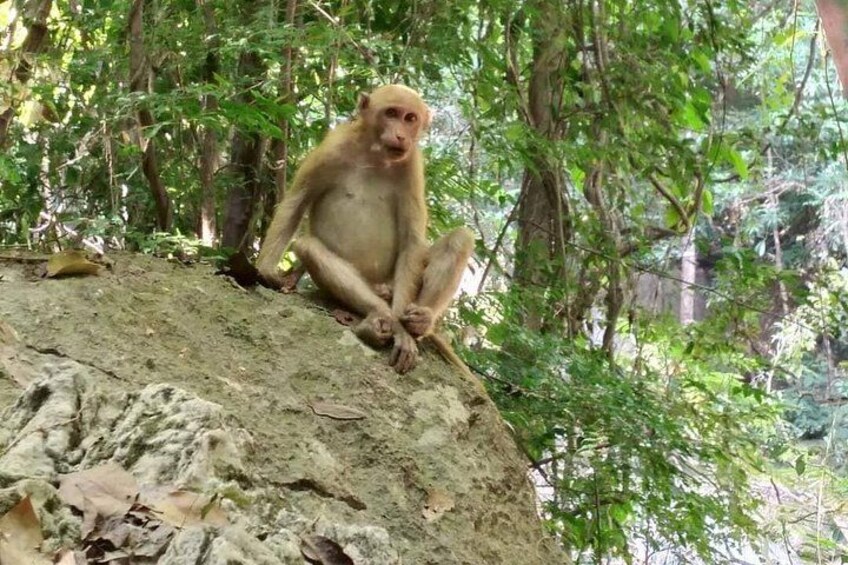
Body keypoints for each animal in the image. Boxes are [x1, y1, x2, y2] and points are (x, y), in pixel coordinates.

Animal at [256, 84, 475, 375]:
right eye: (391, 113)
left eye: (410, 118)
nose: (401, 135)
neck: (375, 153)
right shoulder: (332, 147)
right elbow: (296, 201)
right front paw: (266, 269)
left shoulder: (412, 165)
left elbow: (412, 239)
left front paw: (407, 331)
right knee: (308, 246)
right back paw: (378, 320)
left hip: (395, 285)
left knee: (460, 238)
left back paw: (417, 324)